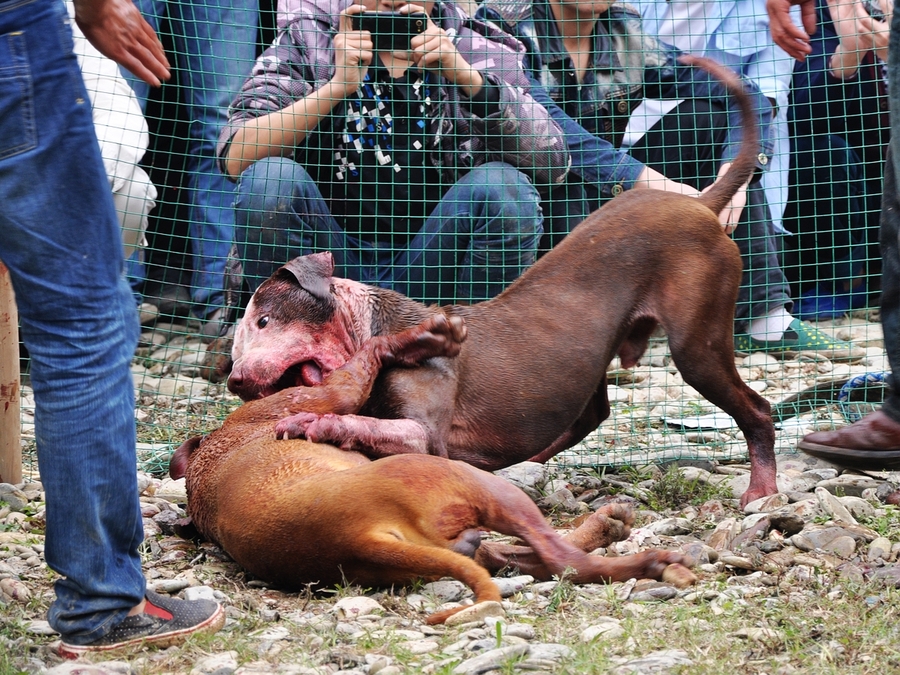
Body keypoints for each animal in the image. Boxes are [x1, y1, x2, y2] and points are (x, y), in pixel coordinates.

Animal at [176, 314, 696, 624]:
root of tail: (357, 536)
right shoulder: (335, 391)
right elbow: (377, 346)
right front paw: (426, 337)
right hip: (478, 485)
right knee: (563, 561)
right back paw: (650, 559)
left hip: (463, 541)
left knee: (538, 559)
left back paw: (611, 529)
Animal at [227, 55, 780, 510]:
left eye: (264, 320)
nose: (233, 381)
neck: (373, 324)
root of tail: (700, 204)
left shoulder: (424, 433)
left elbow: (367, 423)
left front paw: (314, 422)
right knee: (592, 412)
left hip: (698, 344)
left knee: (757, 409)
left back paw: (762, 490)